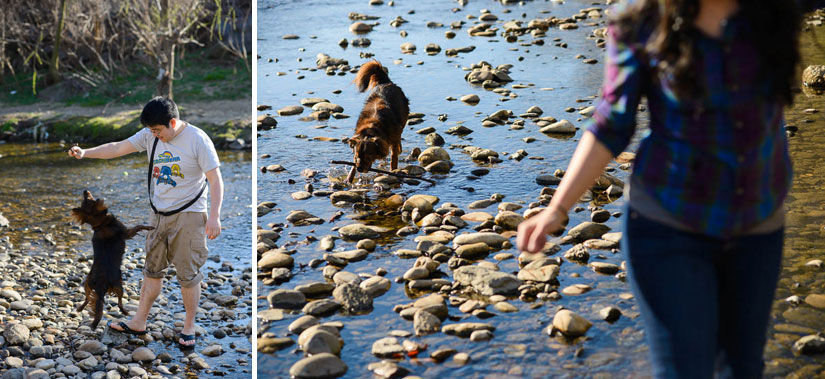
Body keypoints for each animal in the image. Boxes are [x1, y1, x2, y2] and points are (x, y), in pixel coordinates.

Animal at [71, 191, 154, 332]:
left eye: (86, 199)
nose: (85, 190)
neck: (101, 224)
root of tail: (101, 284)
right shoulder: (127, 232)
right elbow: (139, 226)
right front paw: (149, 227)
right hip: (120, 286)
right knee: (119, 303)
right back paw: (125, 312)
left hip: (87, 283)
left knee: (88, 298)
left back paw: (80, 308)